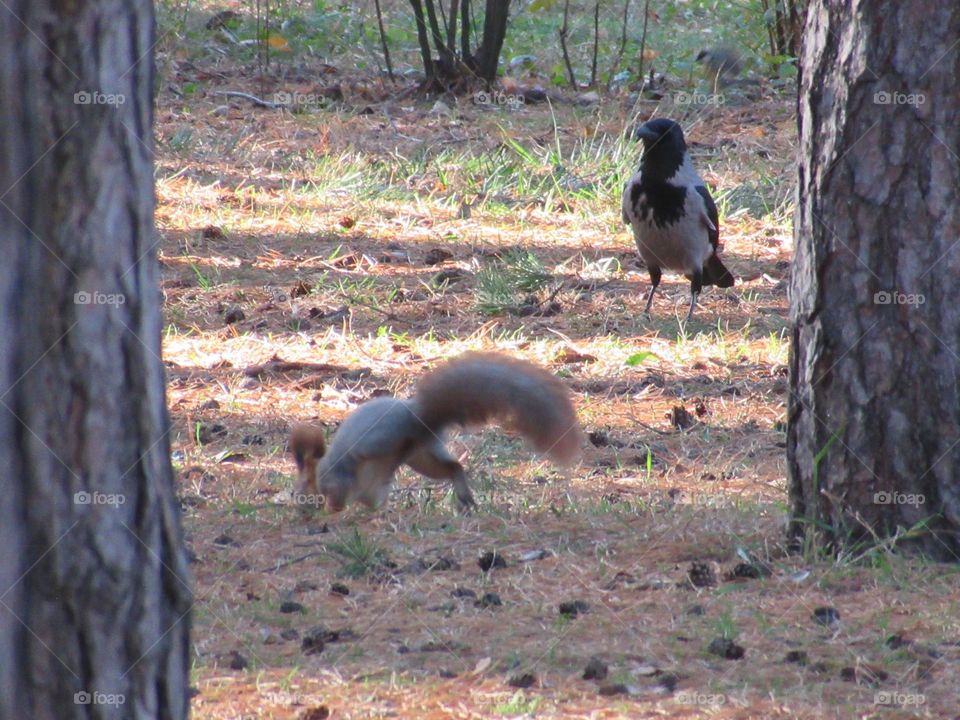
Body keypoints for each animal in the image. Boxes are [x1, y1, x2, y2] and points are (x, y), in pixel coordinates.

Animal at [289, 352, 583, 512]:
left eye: (297, 490)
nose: (300, 509)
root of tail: (419, 416)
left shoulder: (339, 479)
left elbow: (342, 495)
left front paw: (334, 511)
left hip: (386, 448)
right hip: (422, 456)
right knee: (452, 467)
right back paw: (464, 498)